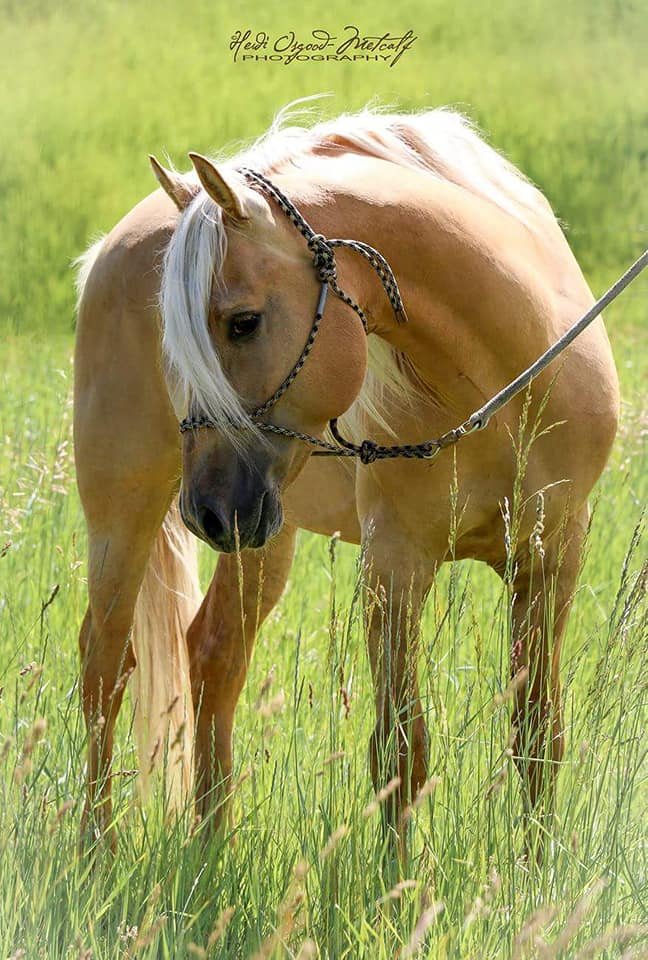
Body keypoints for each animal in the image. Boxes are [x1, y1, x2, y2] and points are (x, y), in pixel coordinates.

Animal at [73, 103, 619, 847]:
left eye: (243, 323)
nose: (207, 512)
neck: (503, 384)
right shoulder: (395, 565)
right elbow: (400, 751)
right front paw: (400, 879)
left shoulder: (553, 555)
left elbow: (537, 736)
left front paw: (533, 867)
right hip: (127, 511)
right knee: (104, 666)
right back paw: (95, 852)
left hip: (264, 534)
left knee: (214, 655)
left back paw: (211, 846)